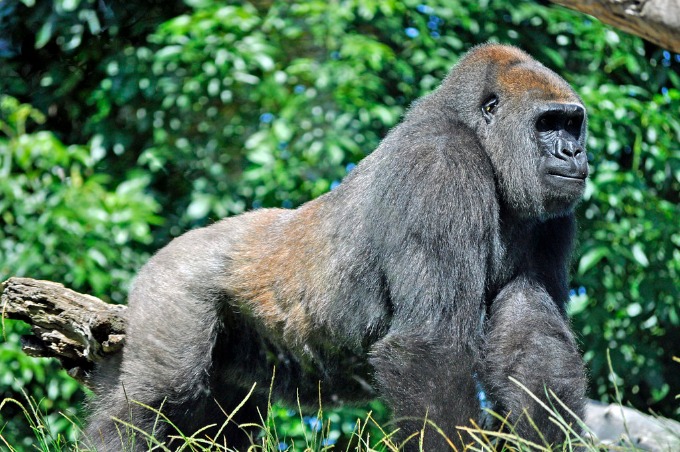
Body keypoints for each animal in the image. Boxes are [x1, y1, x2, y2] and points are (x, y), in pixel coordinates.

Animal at [84, 43, 588, 451]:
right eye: (547, 124)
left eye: (573, 124)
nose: (574, 154)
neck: (479, 139)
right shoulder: (437, 166)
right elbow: (431, 345)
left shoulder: (553, 216)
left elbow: (532, 344)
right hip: (172, 283)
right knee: (160, 393)